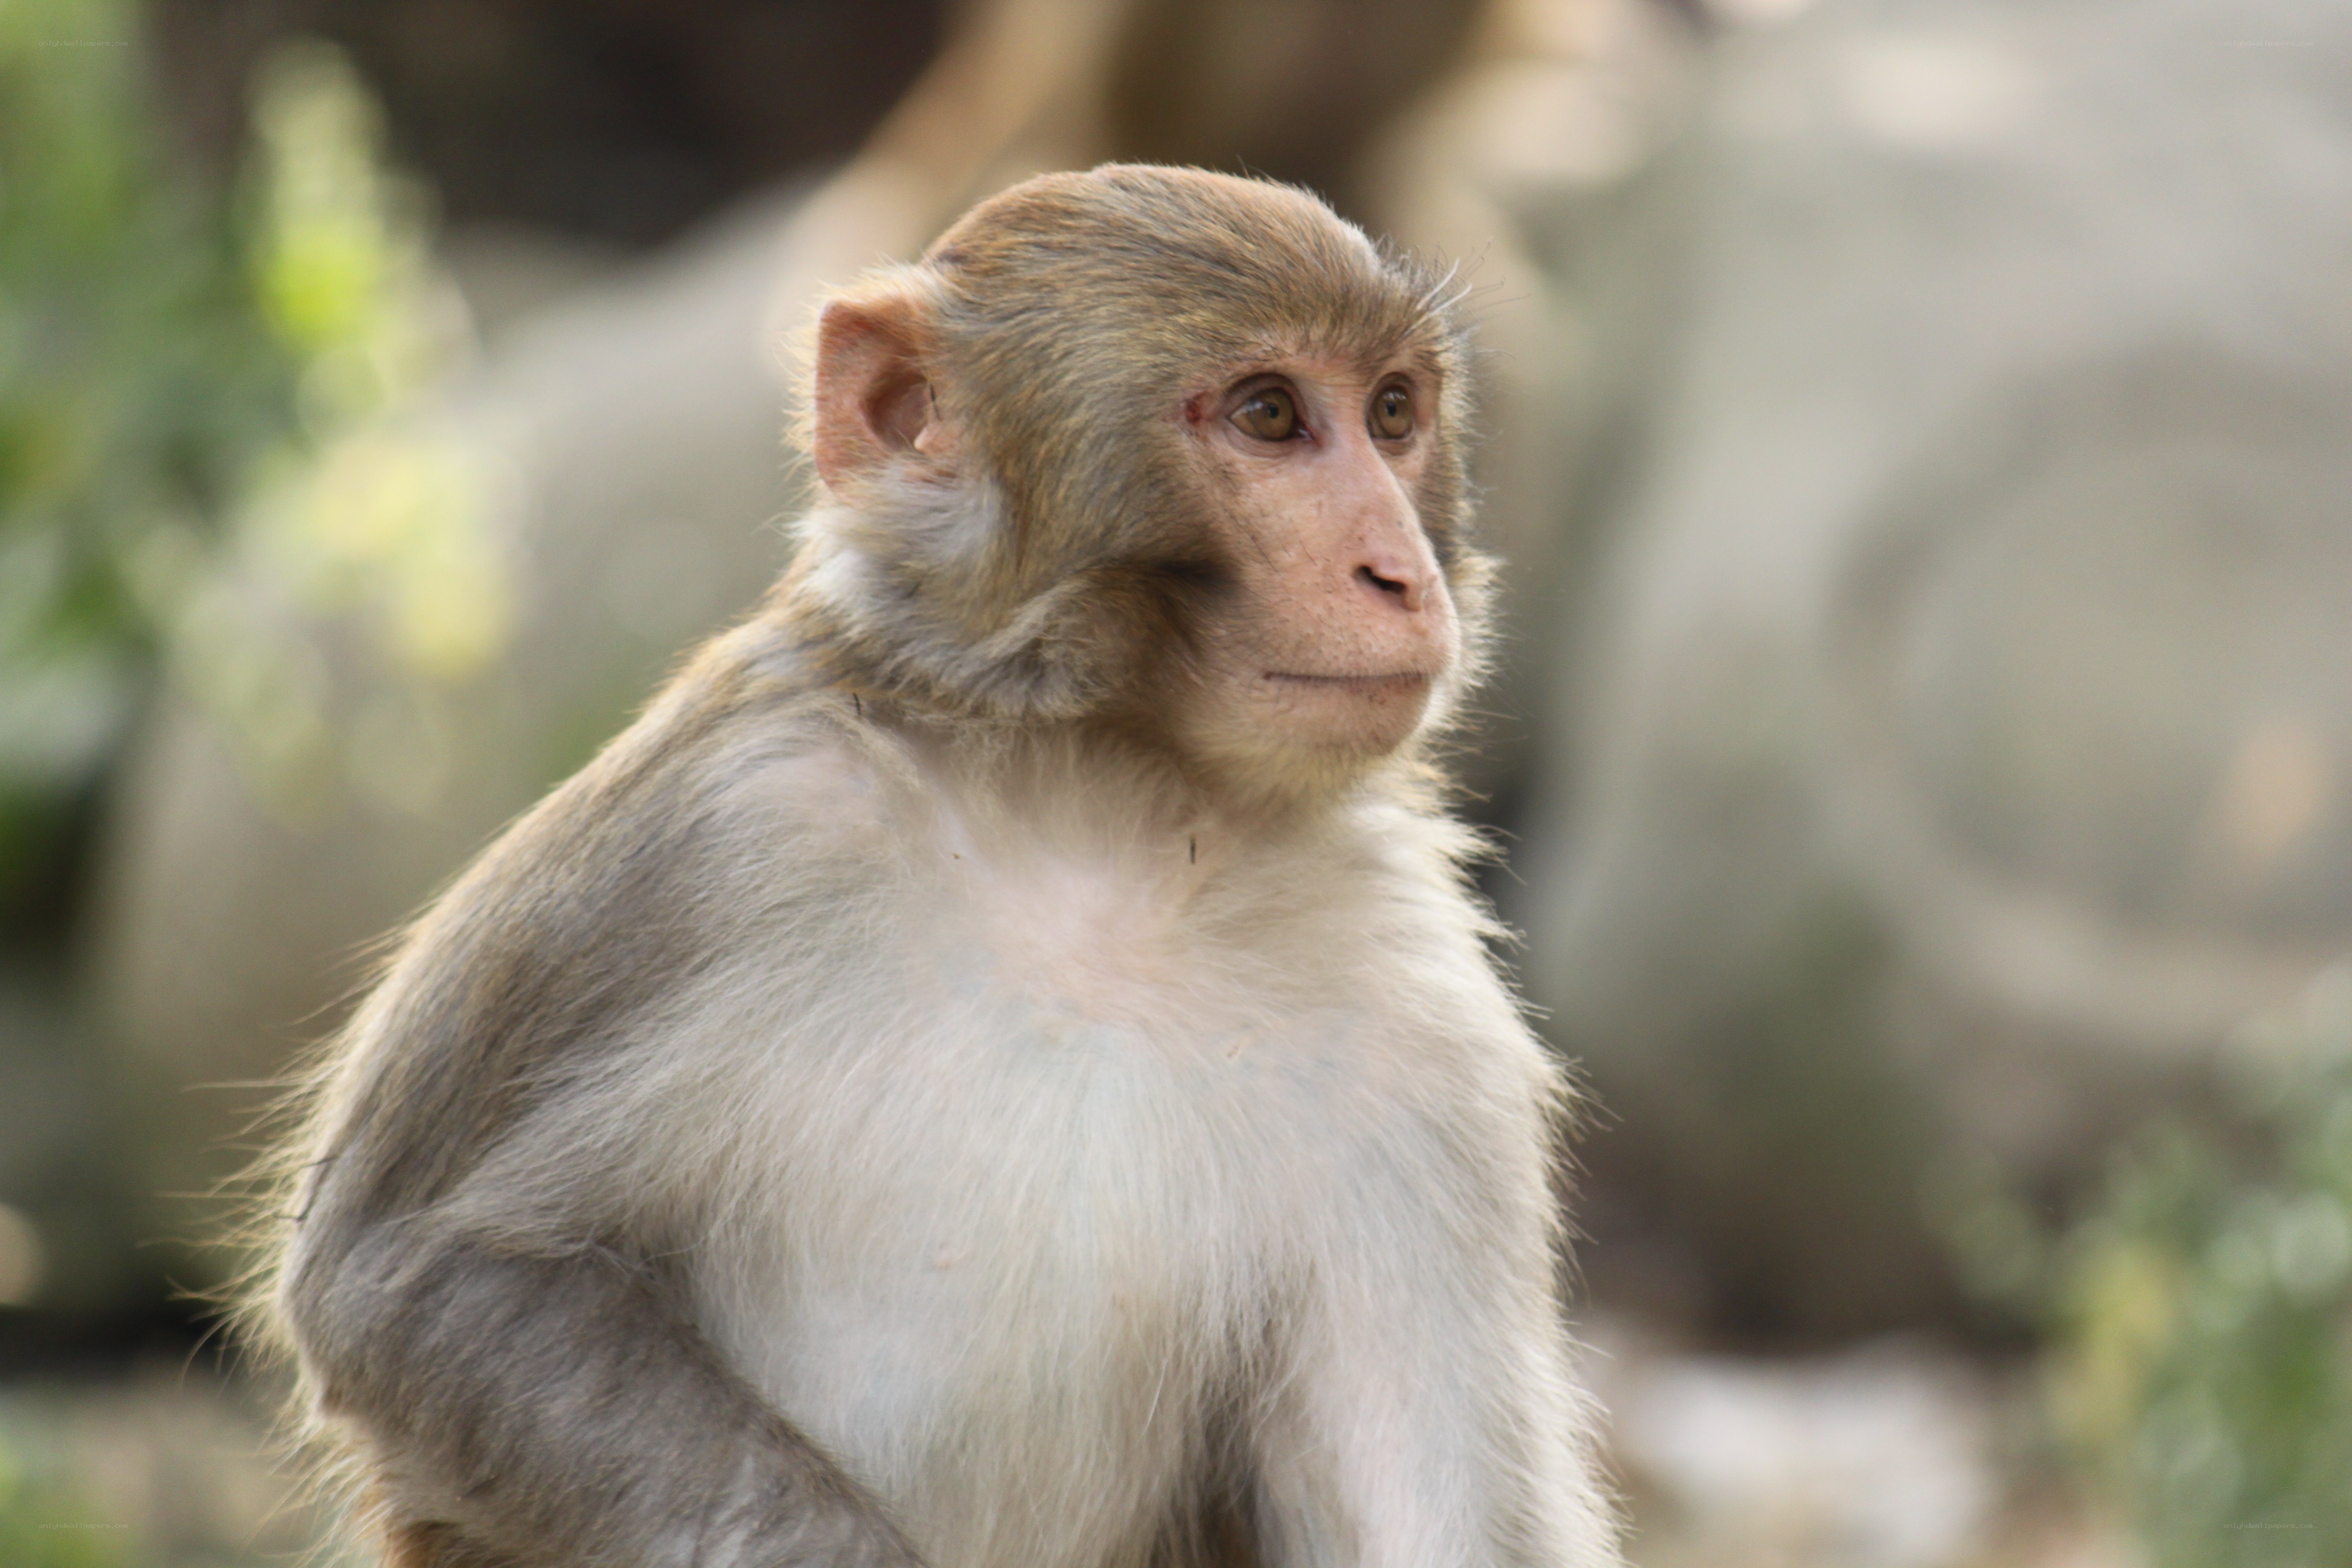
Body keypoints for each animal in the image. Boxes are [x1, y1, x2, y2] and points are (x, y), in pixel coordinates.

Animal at [258, 165, 1624, 1568]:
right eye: (1269, 416)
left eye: (1393, 412)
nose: (1398, 572)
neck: (1100, 818)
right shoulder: (710, 836)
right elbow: (412, 1280)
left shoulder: (1415, 1011)